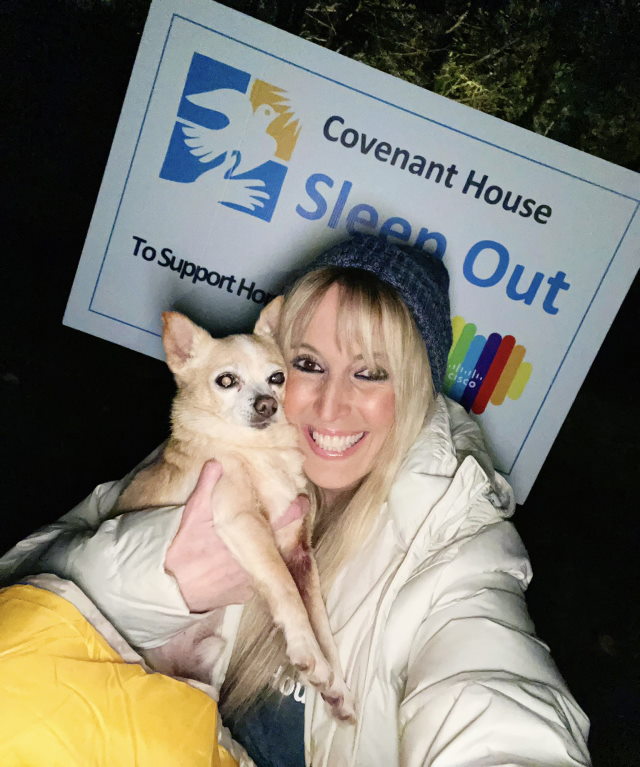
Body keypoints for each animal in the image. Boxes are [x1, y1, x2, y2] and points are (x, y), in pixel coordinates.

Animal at [115, 304, 356, 724]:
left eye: (278, 378)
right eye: (226, 381)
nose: (267, 404)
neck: (260, 453)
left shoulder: (298, 551)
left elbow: (319, 618)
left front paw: (336, 685)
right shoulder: (244, 523)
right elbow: (287, 591)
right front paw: (309, 654)